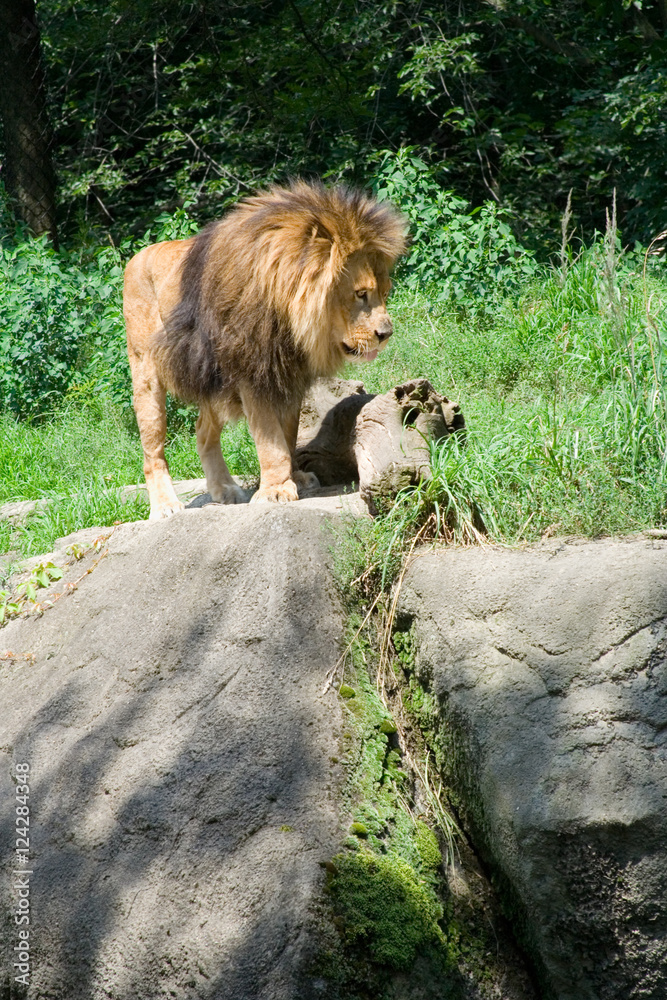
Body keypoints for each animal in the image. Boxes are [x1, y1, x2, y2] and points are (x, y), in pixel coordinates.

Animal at [123, 181, 407, 520]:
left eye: (385, 293)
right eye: (361, 294)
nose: (386, 334)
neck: (287, 316)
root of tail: (136, 256)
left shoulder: (290, 374)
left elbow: (288, 433)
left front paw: (294, 479)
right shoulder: (252, 371)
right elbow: (270, 440)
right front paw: (276, 490)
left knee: (203, 432)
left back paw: (225, 490)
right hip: (146, 372)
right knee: (152, 450)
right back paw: (166, 505)